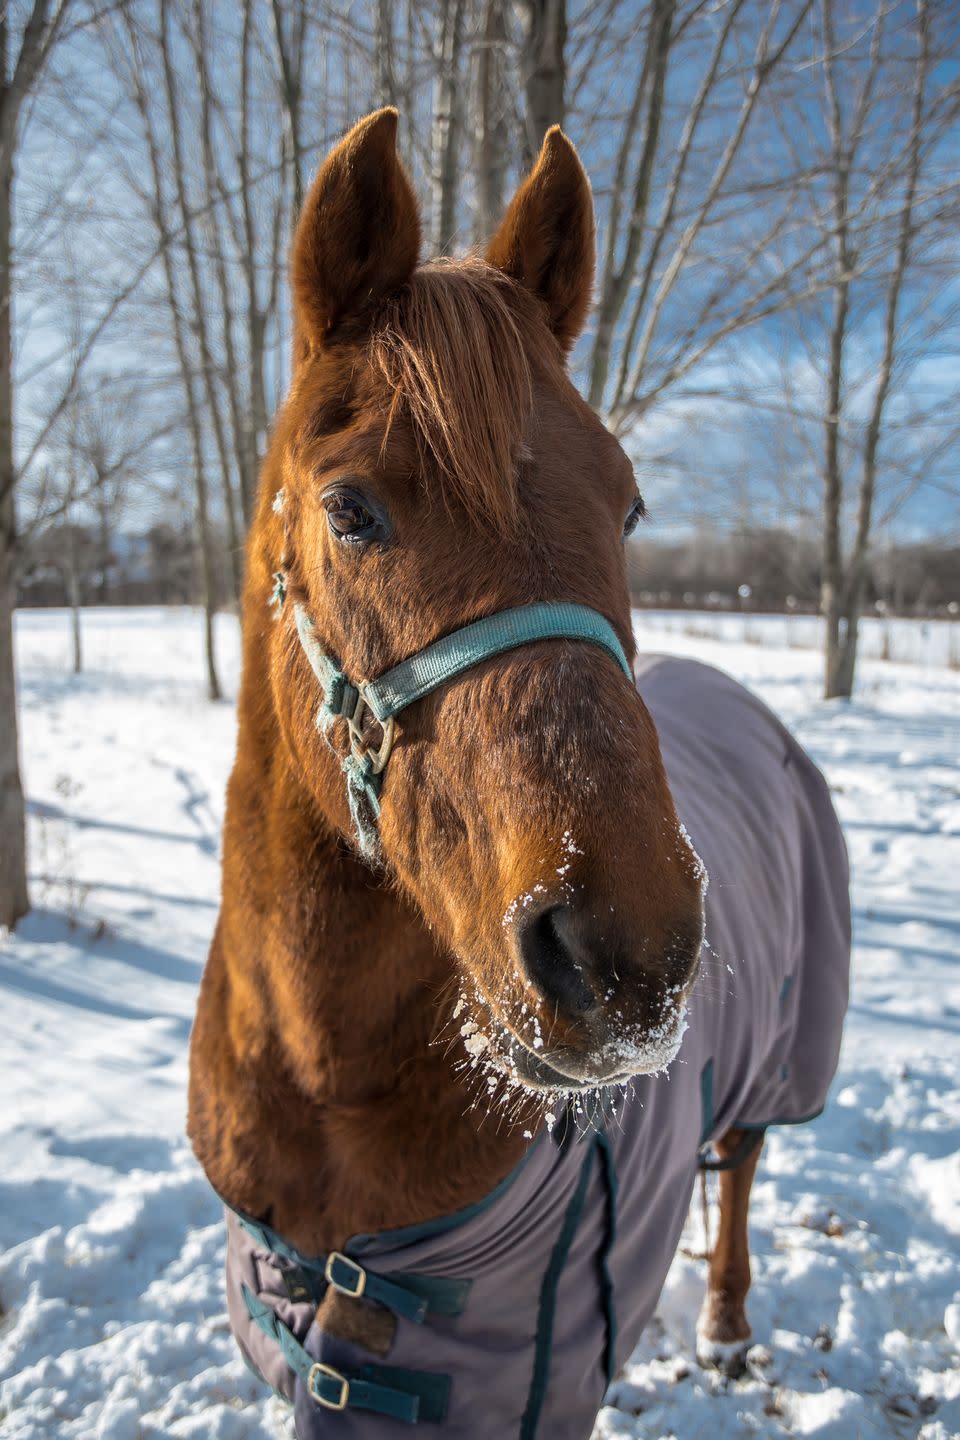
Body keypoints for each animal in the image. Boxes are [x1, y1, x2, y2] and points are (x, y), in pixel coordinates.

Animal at [187, 106, 846, 1434]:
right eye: (350, 509)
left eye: (630, 504)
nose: (625, 956)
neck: (319, 1076)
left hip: (775, 1062)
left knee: (746, 1165)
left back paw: (727, 1325)